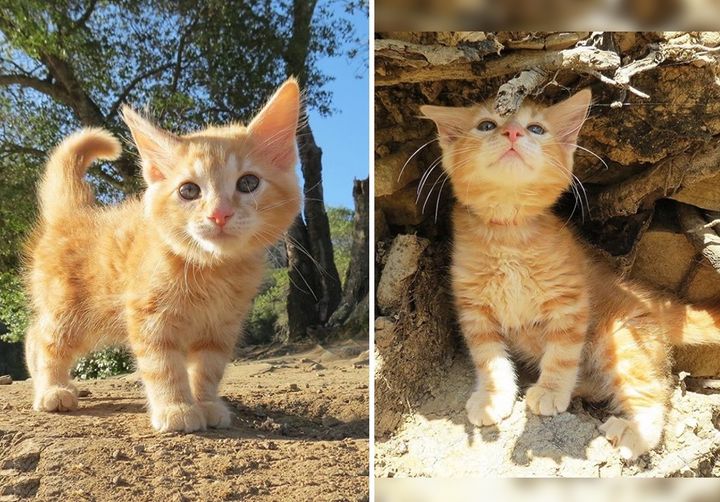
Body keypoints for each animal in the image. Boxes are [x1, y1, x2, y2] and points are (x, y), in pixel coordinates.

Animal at [23, 78, 300, 432]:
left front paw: (207, 404)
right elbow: (164, 367)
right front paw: (176, 408)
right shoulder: (150, 318)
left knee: (35, 336)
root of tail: (74, 214)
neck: (211, 270)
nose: (219, 214)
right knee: (41, 339)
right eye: (189, 190)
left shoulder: (221, 328)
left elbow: (208, 370)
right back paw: (51, 390)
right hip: (70, 311)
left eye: (248, 183)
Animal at [420, 89, 720, 458]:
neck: (509, 235)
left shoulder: (570, 301)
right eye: (486, 125)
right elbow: (488, 358)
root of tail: (648, 298)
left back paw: (636, 432)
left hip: (621, 341)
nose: (512, 132)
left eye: (536, 128)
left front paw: (550, 389)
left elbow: (562, 355)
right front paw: (492, 396)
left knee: (654, 390)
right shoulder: (473, 308)